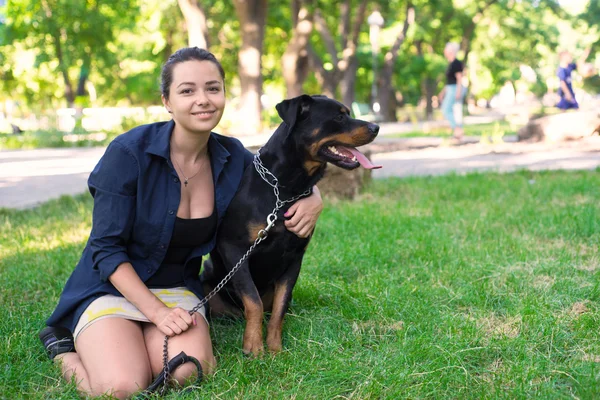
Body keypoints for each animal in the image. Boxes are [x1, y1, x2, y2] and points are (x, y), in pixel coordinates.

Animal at [202, 94, 380, 356]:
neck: (285, 190)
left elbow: (280, 307)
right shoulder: (234, 249)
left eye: (348, 113)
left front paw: (275, 348)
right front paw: (254, 346)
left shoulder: (295, 257)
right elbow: (252, 300)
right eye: (338, 117)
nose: (376, 127)